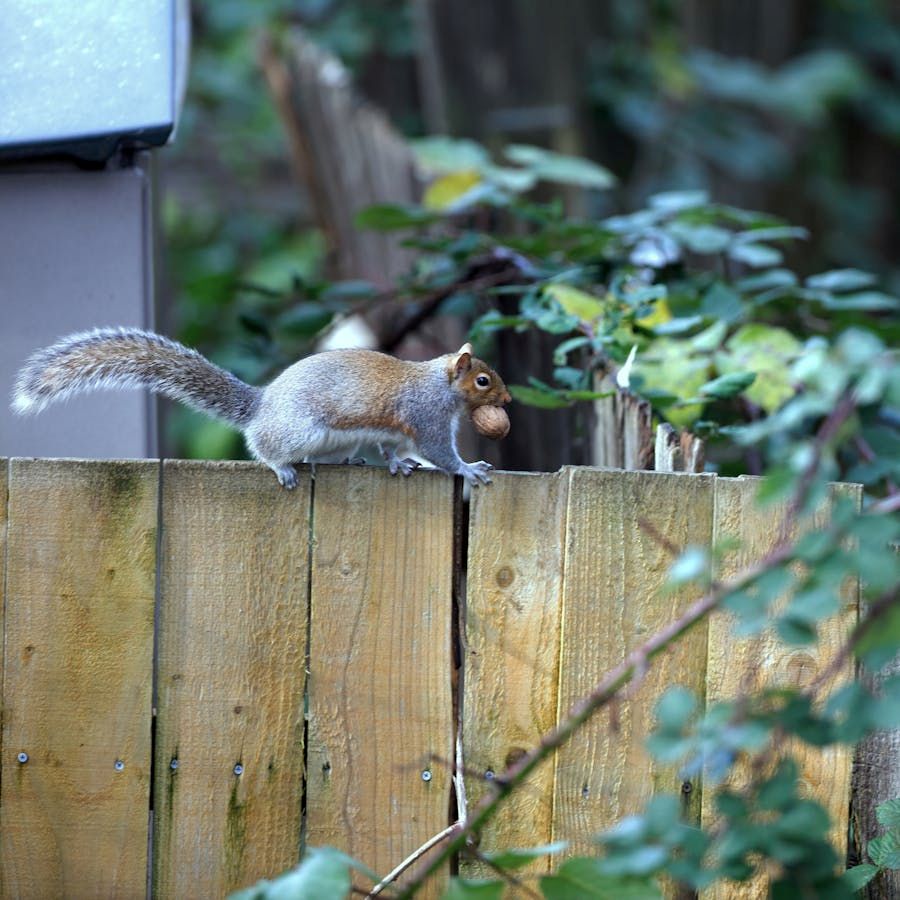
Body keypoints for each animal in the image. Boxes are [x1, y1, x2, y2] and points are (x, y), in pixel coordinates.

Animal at [11, 328, 511, 488]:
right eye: (483, 380)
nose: (507, 401)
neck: (438, 383)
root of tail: (263, 405)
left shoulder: (394, 428)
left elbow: (394, 448)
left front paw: (398, 465)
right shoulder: (427, 418)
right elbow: (439, 452)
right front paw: (469, 469)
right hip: (298, 430)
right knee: (263, 445)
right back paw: (282, 467)